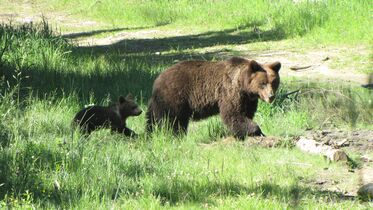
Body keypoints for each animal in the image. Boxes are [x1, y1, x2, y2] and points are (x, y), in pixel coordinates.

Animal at [145, 57, 280, 139]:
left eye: (274, 82)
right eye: (263, 83)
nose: (271, 96)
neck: (243, 86)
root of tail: (158, 78)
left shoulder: (248, 100)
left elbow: (245, 113)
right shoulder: (230, 92)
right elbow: (234, 114)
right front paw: (256, 130)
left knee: (155, 118)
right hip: (174, 96)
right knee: (169, 119)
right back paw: (172, 135)